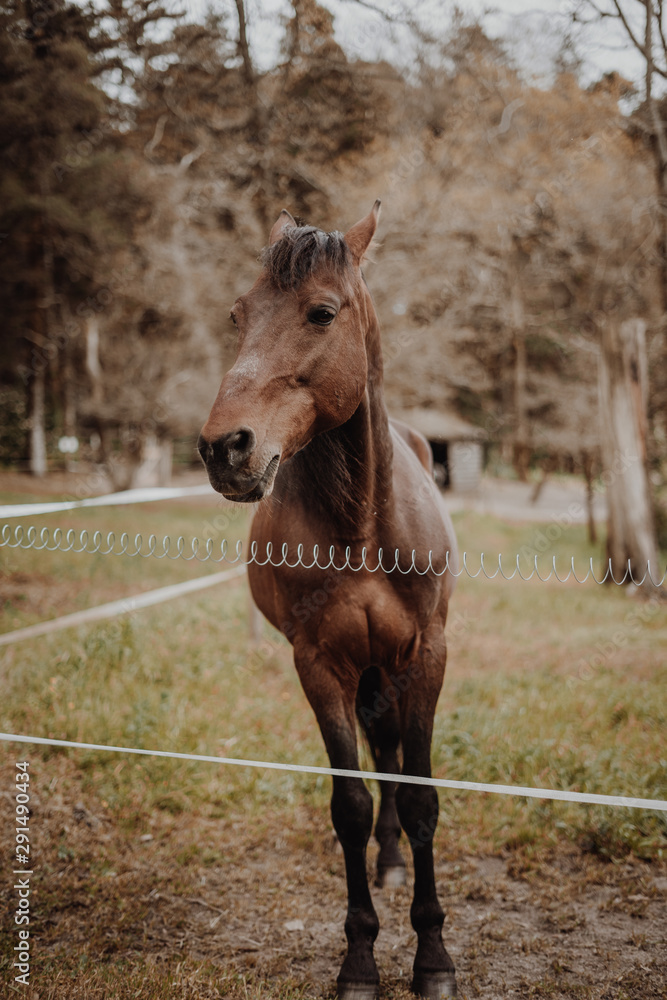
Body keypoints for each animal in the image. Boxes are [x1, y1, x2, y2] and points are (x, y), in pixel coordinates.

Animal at [198, 202, 459, 1000]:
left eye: (321, 312)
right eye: (238, 314)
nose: (223, 448)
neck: (362, 525)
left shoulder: (425, 657)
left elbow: (419, 793)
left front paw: (433, 957)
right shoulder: (319, 666)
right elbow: (351, 804)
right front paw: (361, 960)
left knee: (394, 755)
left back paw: (398, 863)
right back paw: (388, 861)